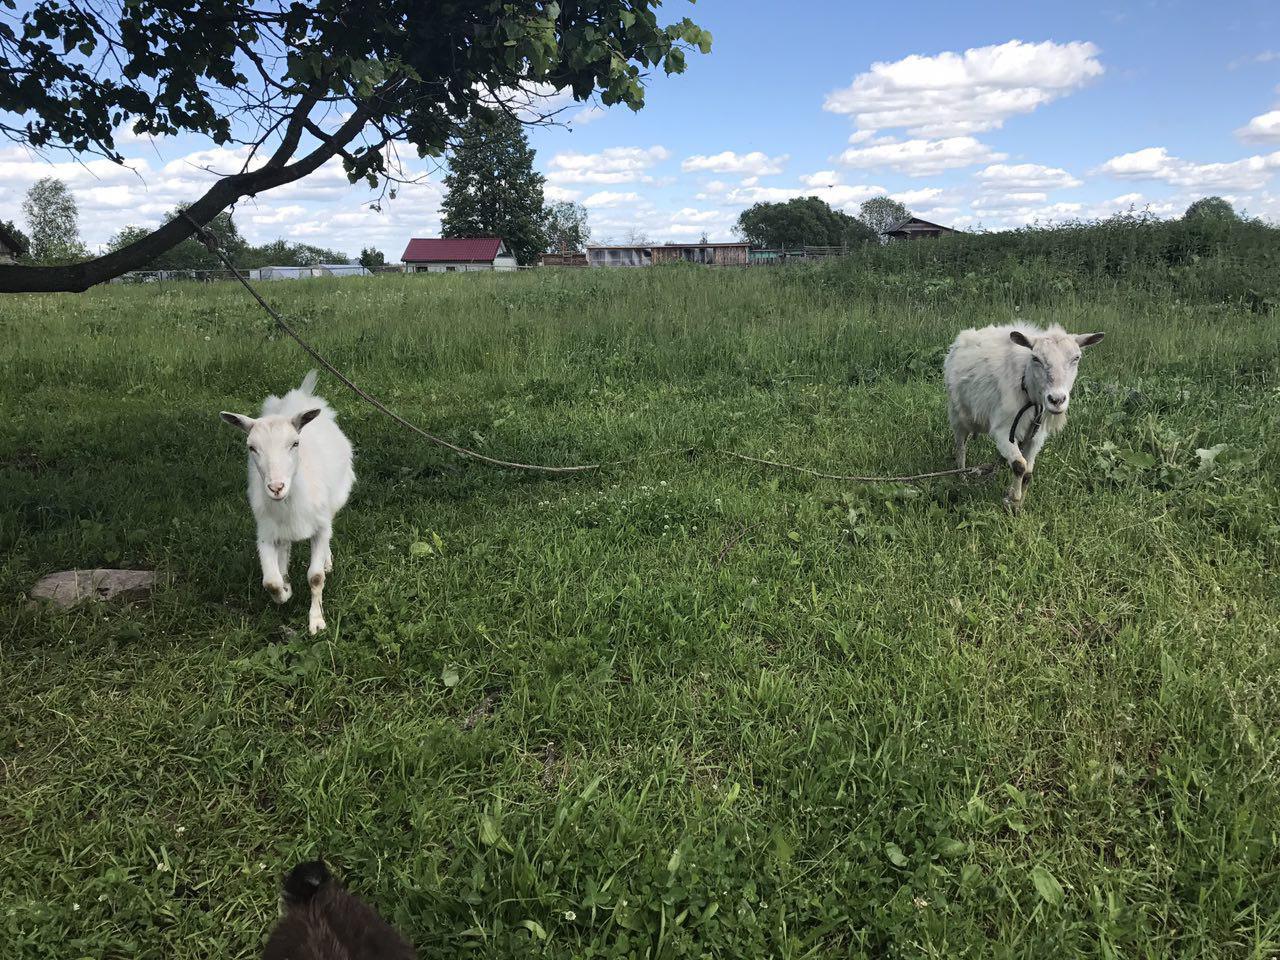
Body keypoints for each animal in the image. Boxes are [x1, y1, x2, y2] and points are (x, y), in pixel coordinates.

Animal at [222, 371, 355, 634]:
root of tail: (301, 396)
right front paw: (285, 590)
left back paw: (326, 561)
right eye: (251, 447)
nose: (276, 487)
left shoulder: (320, 526)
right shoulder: (265, 531)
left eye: (295, 443)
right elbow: (270, 582)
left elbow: (315, 577)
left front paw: (316, 622)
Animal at [947, 323, 1105, 512]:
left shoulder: (1037, 436)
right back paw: (962, 478)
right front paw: (1013, 501)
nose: (1056, 400)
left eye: (1076, 358)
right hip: (958, 415)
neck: (1028, 389)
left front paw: (1018, 503)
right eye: (1036, 358)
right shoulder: (1003, 431)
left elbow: (1028, 473)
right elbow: (1019, 465)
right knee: (961, 446)